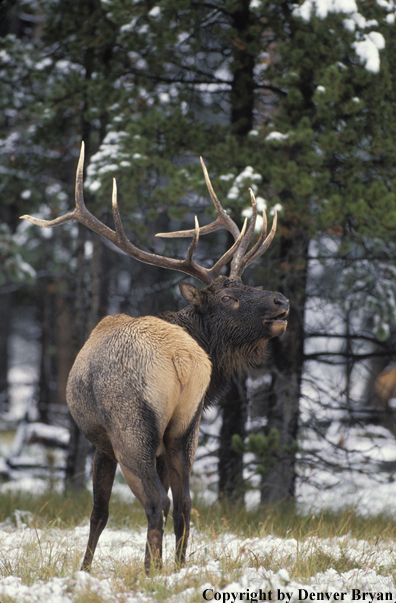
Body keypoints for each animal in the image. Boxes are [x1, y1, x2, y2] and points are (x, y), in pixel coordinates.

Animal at [20, 144, 288, 572]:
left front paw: (84, 569)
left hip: (130, 426)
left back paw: (151, 570)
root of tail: (181, 361)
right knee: (184, 503)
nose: (282, 301)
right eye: (231, 295)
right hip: (184, 429)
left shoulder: (100, 443)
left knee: (154, 501)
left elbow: (99, 511)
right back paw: (175, 567)